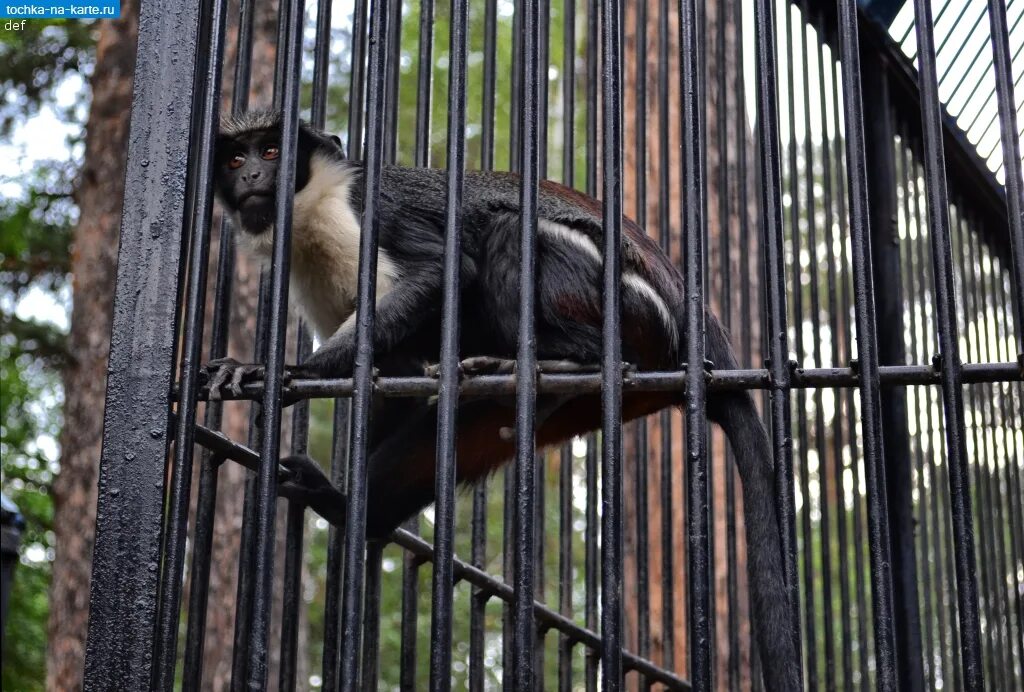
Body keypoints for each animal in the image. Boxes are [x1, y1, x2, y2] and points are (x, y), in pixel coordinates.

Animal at [205, 111, 798, 687]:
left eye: (273, 151)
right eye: (235, 158)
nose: (252, 175)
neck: (310, 209)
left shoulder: (368, 212)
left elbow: (441, 271)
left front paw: (285, 371)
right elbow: (395, 381)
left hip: (626, 310)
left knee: (512, 234)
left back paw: (566, 361)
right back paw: (348, 508)